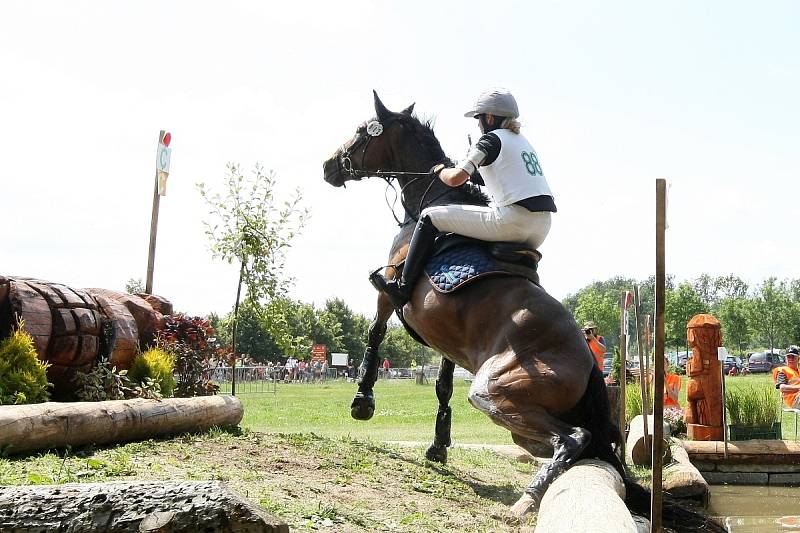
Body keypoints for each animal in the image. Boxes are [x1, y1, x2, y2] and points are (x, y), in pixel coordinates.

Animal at [320, 90, 724, 528]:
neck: (432, 198)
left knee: (573, 438)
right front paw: (438, 446)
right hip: (524, 420)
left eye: (363, 131)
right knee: (586, 445)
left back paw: (528, 499)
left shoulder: (391, 292)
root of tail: (589, 365)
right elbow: (443, 384)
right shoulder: (447, 337)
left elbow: (375, 333)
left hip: (493, 390)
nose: (328, 166)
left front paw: (362, 402)